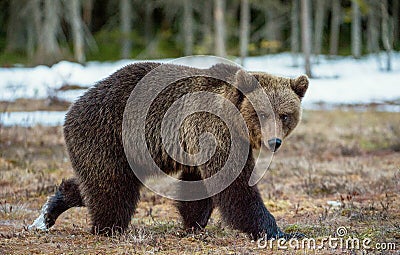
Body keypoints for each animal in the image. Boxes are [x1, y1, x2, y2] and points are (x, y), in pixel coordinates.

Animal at [29, 60, 308, 240]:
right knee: (112, 186)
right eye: (262, 113)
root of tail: (70, 111)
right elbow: (235, 187)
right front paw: (279, 231)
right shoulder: (215, 130)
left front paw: (193, 224)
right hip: (109, 136)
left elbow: (198, 186)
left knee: (94, 182)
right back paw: (108, 228)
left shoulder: (198, 142)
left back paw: (49, 211)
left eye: (284, 115)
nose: (274, 142)